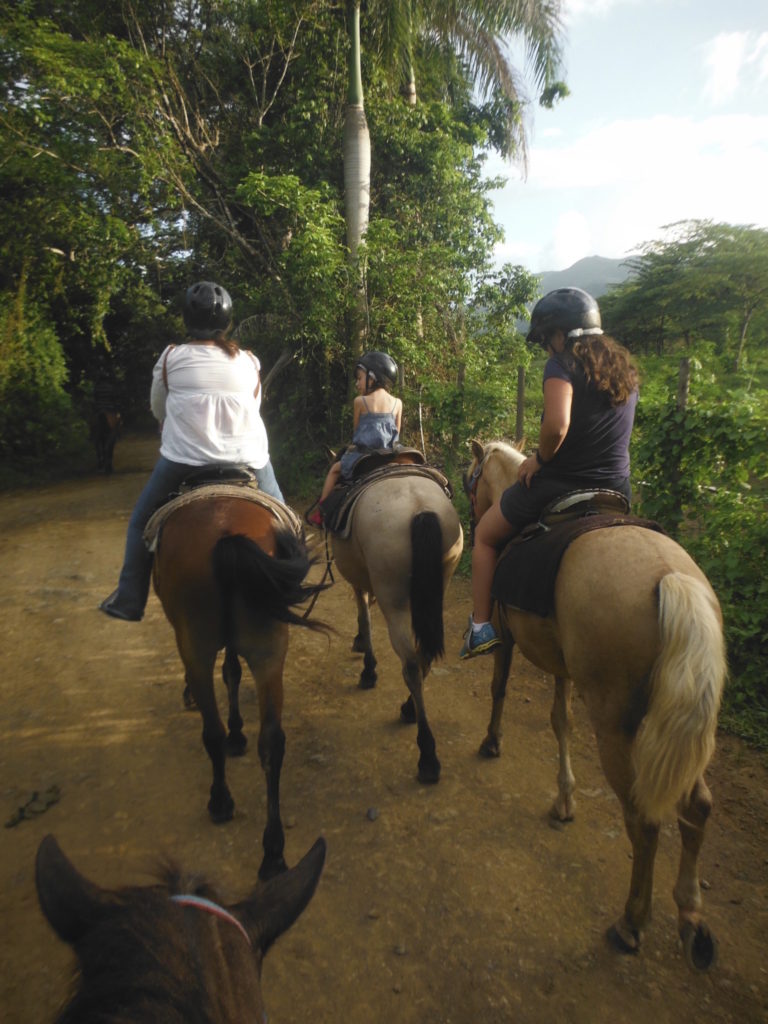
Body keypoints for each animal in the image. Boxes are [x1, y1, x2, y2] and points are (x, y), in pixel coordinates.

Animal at [150, 487, 327, 880]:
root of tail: (225, 534)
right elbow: (232, 671)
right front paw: (238, 733)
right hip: (269, 651)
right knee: (272, 743)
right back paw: (273, 853)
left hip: (197, 645)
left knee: (211, 731)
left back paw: (220, 801)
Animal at [329, 466, 462, 782]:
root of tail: (420, 509)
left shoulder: (358, 579)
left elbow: (364, 616)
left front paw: (367, 668)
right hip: (439, 584)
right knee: (424, 656)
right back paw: (409, 709)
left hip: (395, 601)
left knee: (411, 665)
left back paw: (427, 755)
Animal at [462, 438, 729, 966]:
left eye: (474, 478)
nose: (475, 517)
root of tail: (671, 578)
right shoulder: (563, 664)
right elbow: (560, 720)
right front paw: (565, 799)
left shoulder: (504, 633)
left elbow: (500, 688)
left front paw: (491, 742)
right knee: (699, 806)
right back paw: (691, 917)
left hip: (614, 727)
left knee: (644, 823)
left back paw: (631, 923)